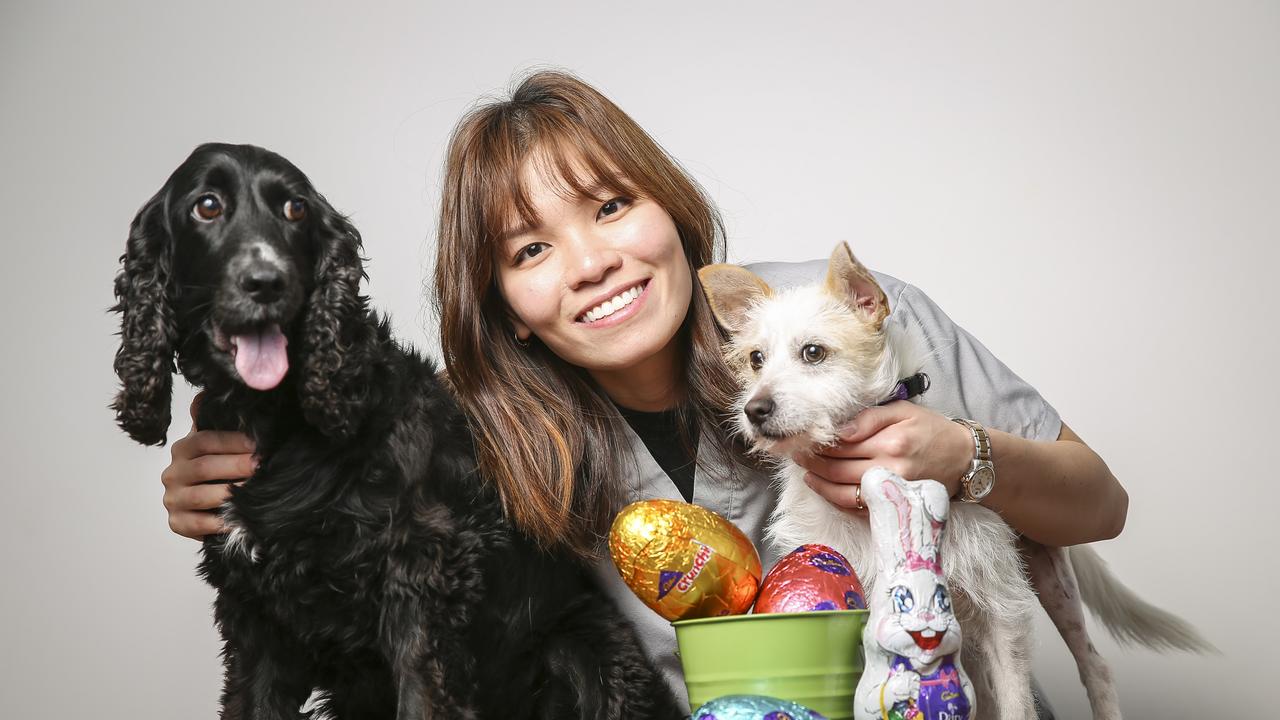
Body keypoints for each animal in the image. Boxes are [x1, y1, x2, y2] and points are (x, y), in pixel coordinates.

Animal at [701, 242, 1208, 717]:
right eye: (756, 359)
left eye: (813, 352)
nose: (755, 410)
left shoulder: (1003, 613)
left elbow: (1017, 702)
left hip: (1054, 584)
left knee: (1094, 665)